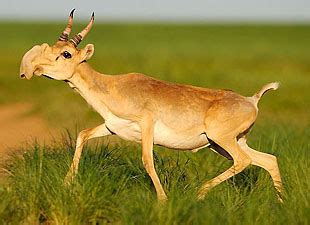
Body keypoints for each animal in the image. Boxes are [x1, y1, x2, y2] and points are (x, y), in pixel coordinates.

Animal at [18, 9, 284, 202]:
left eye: (66, 54)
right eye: (52, 47)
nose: (32, 68)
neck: (111, 86)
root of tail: (251, 100)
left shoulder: (146, 124)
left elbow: (147, 160)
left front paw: (163, 201)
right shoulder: (112, 127)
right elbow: (82, 135)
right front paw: (67, 184)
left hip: (222, 140)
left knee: (244, 161)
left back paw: (200, 193)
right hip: (224, 143)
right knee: (268, 160)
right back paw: (281, 204)